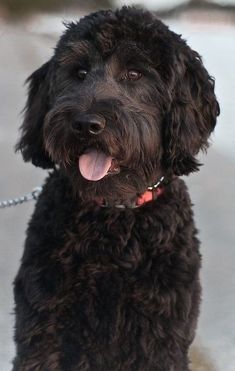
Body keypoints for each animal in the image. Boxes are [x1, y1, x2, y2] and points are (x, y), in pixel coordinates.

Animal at [13, 6, 218, 371]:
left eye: (135, 74)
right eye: (79, 72)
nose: (86, 124)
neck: (115, 214)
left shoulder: (162, 335)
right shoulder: (41, 324)